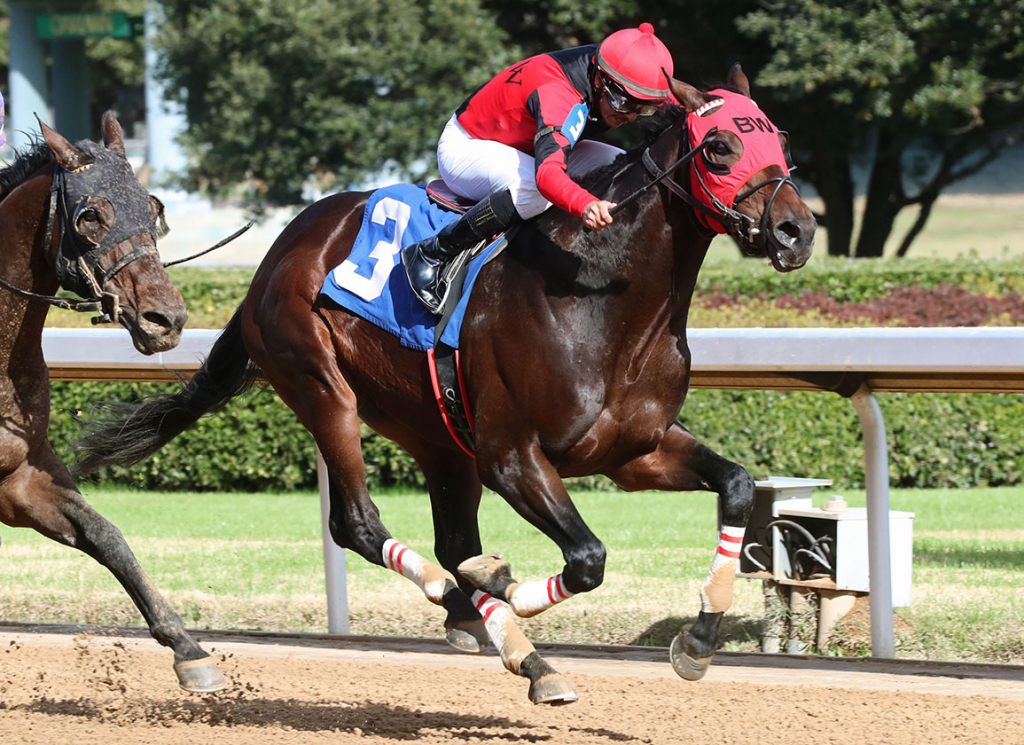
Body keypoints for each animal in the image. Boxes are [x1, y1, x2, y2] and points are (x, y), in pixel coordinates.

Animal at [0, 115, 226, 691]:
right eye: (90, 215)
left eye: (153, 209)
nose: (165, 319)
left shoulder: (20, 475)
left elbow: (106, 536)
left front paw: (189, 649)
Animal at [74, 69, 815, 704]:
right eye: (719, 147)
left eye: (780, 143)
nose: (796, 230)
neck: (601, 293)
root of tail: (276, 255)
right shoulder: (512, 455)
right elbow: (588, 558)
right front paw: (509, 588)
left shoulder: (634, 451)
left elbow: (737, 486)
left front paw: (698, 638)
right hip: (322, 385)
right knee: (359, 523)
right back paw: (470, 601)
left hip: (434, 430)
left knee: (452, 541)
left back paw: (516, 648)